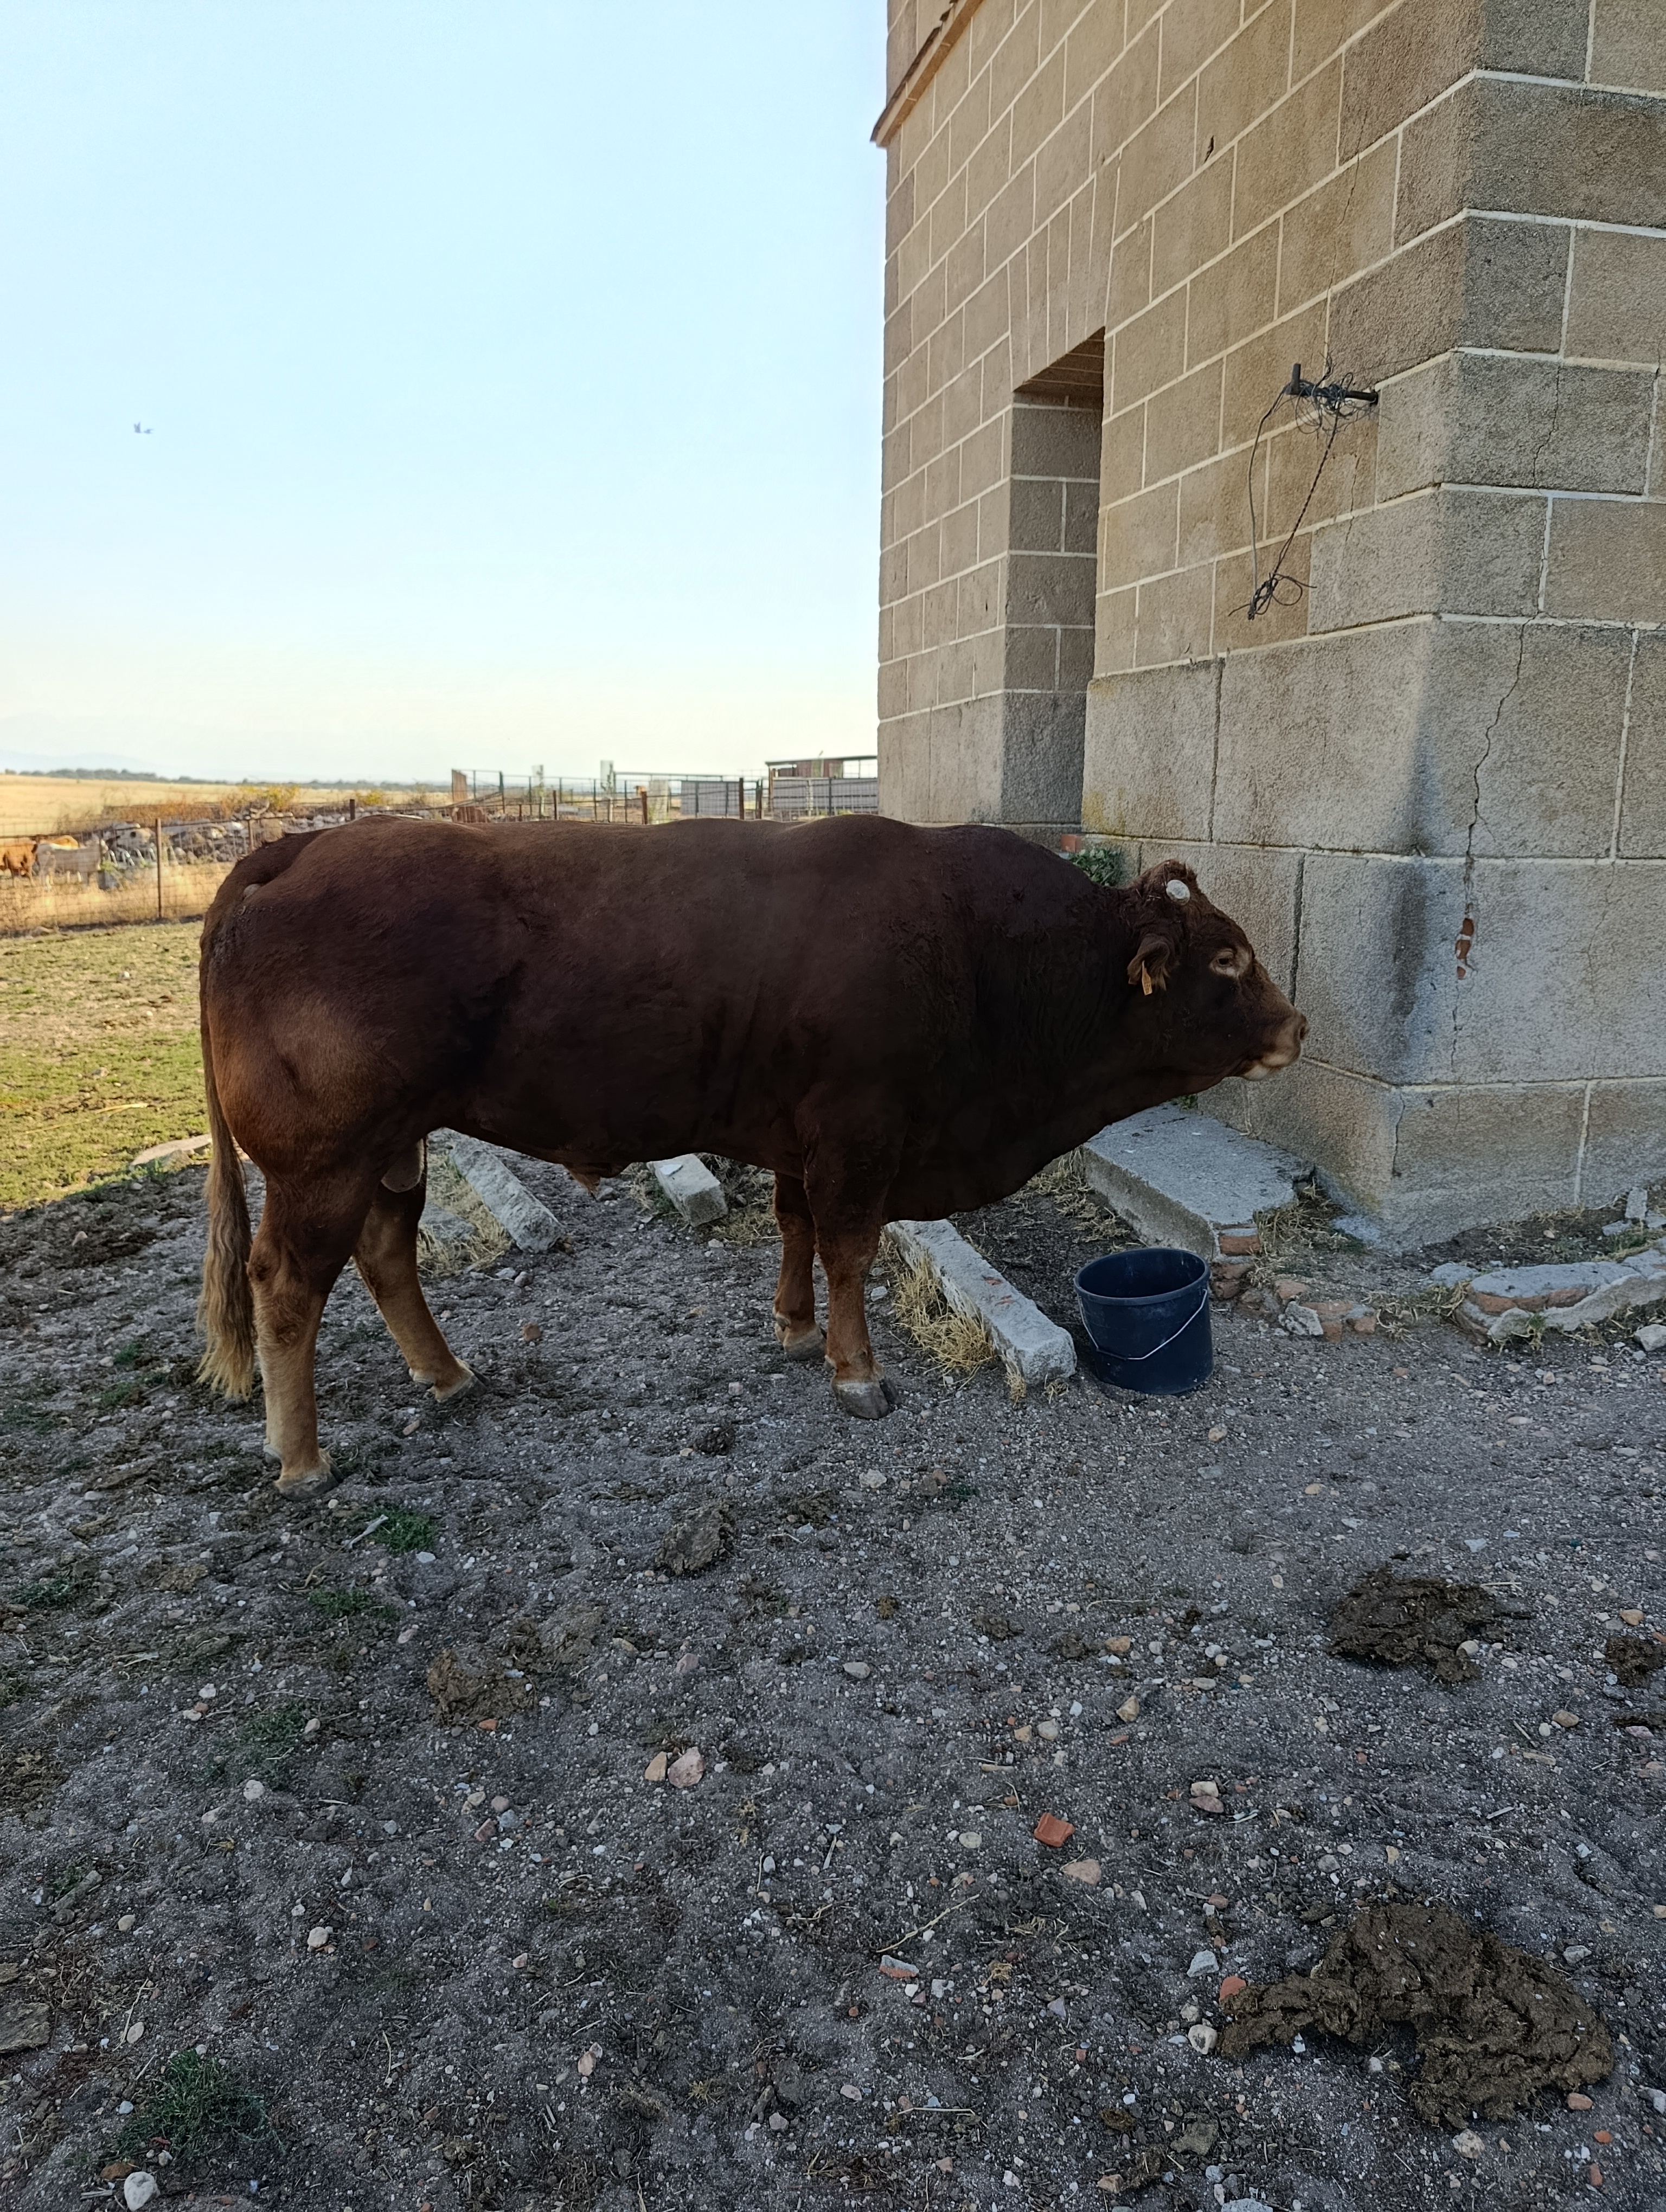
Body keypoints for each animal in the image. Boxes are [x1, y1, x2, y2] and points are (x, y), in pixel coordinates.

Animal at [196, 816, 1305, 1493]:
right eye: (1224, 959)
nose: (1295, 1027)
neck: (979, 951)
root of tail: (296, 848)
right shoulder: (859, 1133)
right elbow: (849, 1249)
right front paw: (857, 1374)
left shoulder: (799, 1137)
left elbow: (794, 1227)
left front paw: (795, 1330)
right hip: (322, 1159)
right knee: (286, 1284)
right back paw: (302, 1455)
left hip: (393, 1147)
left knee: (386, 1253)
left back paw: (448, 1375)